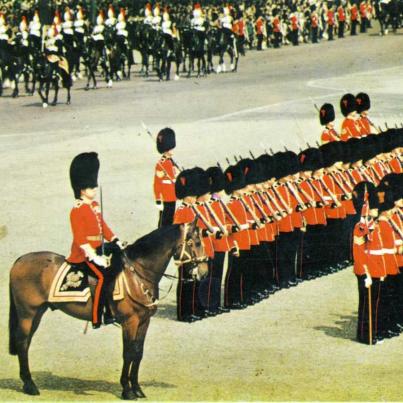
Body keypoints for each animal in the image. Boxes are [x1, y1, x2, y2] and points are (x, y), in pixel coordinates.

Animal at [8, 223, 208, 402]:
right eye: (196, 242)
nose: (204, 273)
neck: (139, 273)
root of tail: (20, 260)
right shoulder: (130, 322)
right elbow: (128, 353)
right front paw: (127, 390)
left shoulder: (144, 321)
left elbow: (138, 352)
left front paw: (137, 388)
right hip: (27, 314)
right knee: (22, 343)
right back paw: (30, 385)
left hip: (37, 313)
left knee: (26, 343)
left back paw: (27, 382)